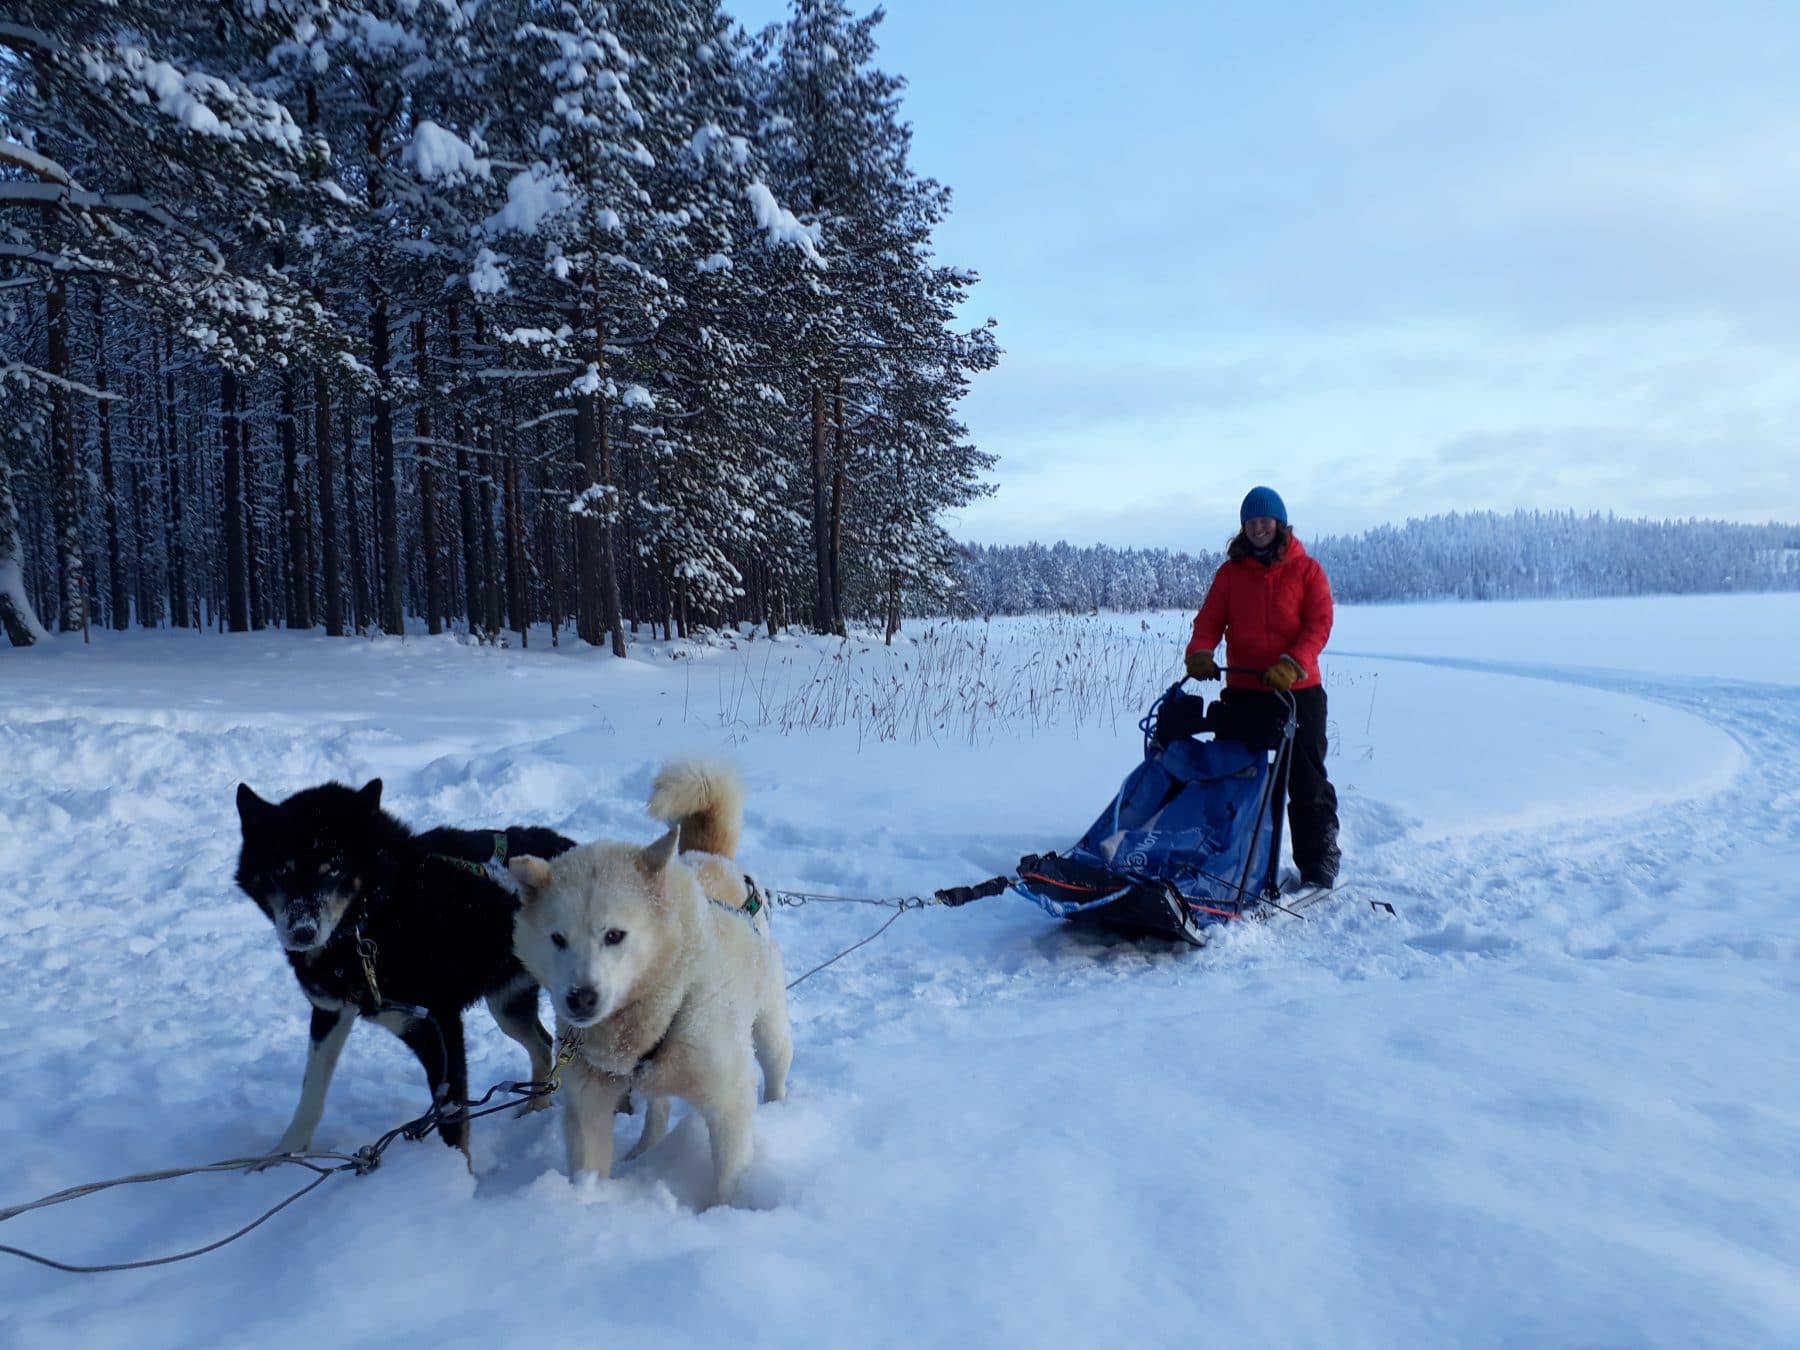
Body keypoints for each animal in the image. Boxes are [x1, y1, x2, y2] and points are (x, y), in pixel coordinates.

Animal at [232, 781, 568, 1166]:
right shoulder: (331, 1012)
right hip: (507, 1004)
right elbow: (311, 1090)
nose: (302, 931)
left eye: (333, 869)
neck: (370, 924)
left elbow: (452, 1121)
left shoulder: (440, 1029)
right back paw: (534, 1108)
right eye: (281, 870)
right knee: (542, 1045)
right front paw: (281, 1155)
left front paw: (453, 1175)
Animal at [507, 763, 788, 1216]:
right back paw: (642, 1152)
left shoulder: (729, 1098)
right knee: (658, 1109)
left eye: (614, 935)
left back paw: (782, 1111)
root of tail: (712, 857)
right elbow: (590, 1165)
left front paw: (722, 1215)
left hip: (770, 1027)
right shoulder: (589, 1104)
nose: (580, 998)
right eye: (558, 938)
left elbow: (728, 1177)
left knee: (776, 1069)